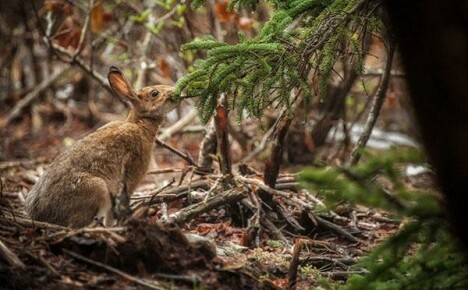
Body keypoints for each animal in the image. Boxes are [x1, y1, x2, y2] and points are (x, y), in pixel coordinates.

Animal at [24, 66, 181, 229]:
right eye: (154, 93)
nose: (175, 92)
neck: (139, 123)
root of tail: (41, 216)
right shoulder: (129, 178)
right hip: (97, 189)